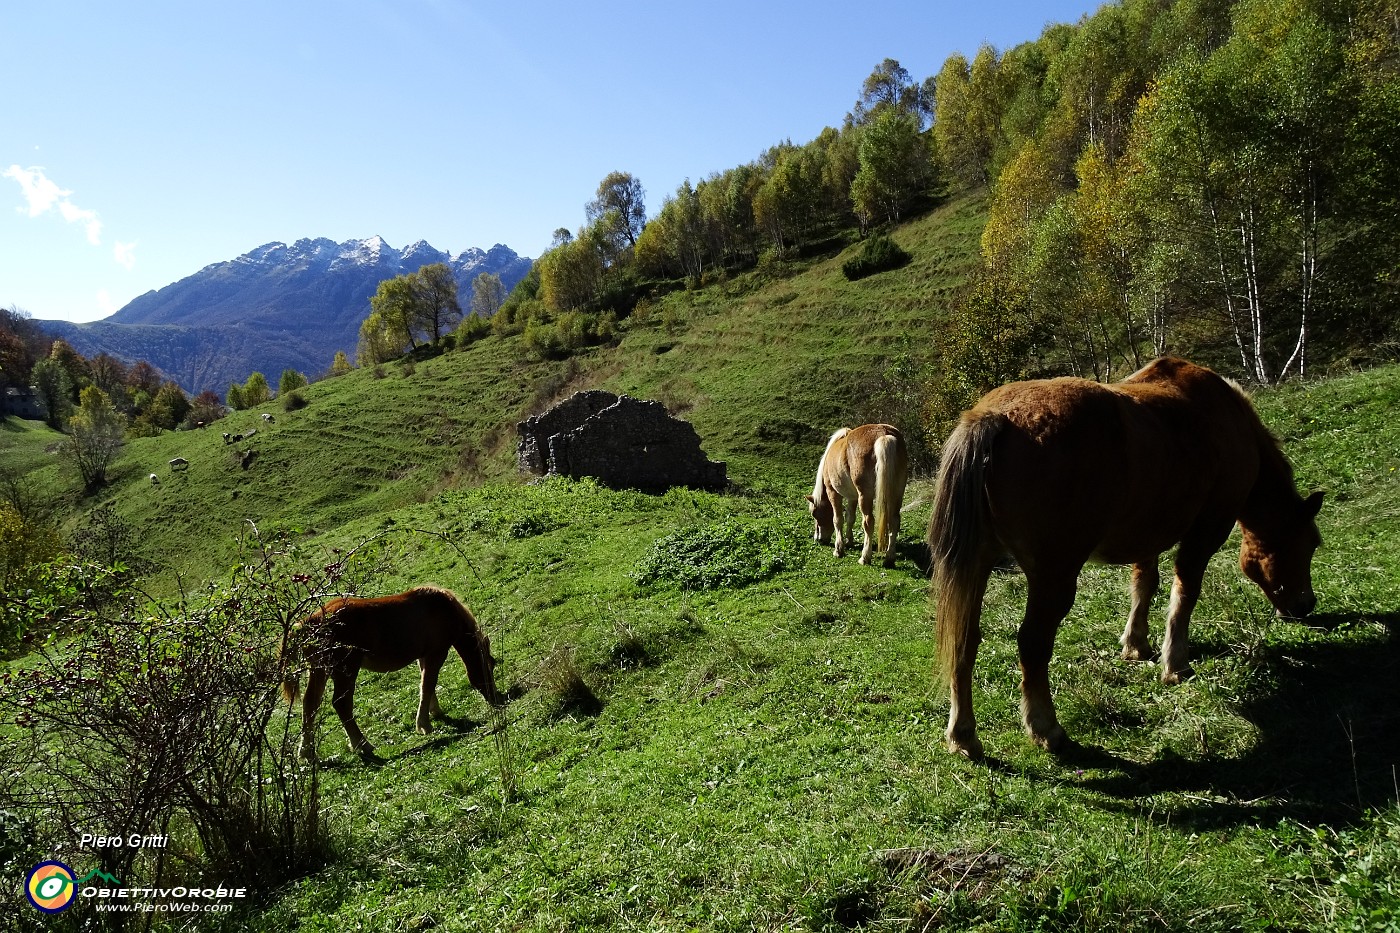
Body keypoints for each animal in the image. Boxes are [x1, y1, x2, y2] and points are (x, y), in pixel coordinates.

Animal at [275, 585, 501, 762]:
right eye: (489, 666)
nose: (497, 698)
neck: (442, 609)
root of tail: (311, 622)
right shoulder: (437, 652)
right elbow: (428, 684)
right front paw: (424, 724)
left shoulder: (424, 656)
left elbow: (426, 684)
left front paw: (434, 712)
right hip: (345, 670)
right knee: (341, 704)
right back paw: (362, 744)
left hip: (320, 670)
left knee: (310, 705)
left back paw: (307, 753)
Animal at [806, 423, 912, 565]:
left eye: (815, 514)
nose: (818, 539)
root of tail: (883, 434)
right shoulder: (853, 497)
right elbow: (850, 517)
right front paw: (849, 541)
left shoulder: (833, 492)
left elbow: (837, 519)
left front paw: (839, 549)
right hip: (897, 494)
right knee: (894, 521)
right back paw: (889, 558)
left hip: (865, 496)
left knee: (868, 522)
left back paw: (865, 557)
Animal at [929, 355, 1321, 756]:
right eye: (1309, 544)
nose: (1306, 605)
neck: (1226, 415)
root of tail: (995, 417)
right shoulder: (1207, 530)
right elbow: (1185, 592)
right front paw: (1175, 664)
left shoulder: (1147, 534)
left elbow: (1144, 585)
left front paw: (1136, 645)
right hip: (1053, 575)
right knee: (1032, 643)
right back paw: (1046, 728)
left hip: (978, 566)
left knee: (964, 640)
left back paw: (963, 735)